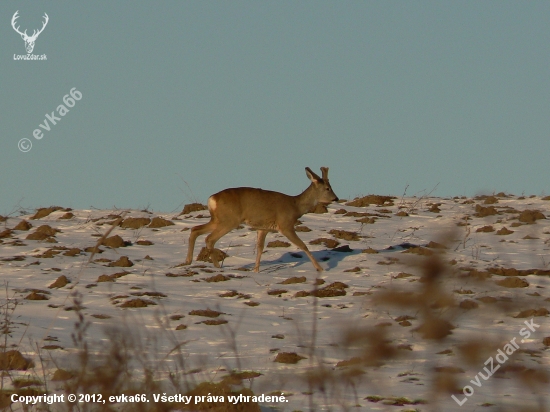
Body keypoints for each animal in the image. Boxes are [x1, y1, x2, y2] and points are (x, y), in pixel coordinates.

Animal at [187, 166, 340, 272]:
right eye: (328, 188)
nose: (336, 198)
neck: (295, 207)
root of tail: (212, 199)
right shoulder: (285, 225)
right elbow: (303, 245)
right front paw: (320, 268)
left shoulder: (263, 228)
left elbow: (260, 248)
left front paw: (256, 270)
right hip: (229, 219)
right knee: (209, 238)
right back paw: (217, 266)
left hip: (217, 219)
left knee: (195, 230)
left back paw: (188, 261)